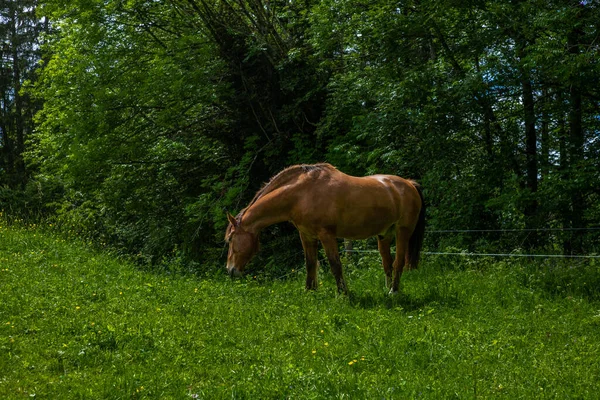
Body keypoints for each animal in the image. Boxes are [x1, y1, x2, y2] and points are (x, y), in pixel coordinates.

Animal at [225, 162, 426, 294]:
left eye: (230, 239)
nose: (230, 270)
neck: (301, 194)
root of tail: (409, 184)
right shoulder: (306, 236)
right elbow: (310, 263)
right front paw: (310, 291)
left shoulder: (326, 235)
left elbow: (335, 264)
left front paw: (343, 293)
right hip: (384, 235)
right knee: (387, 263)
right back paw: (387, 289)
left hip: (402, 233)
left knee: (398, 262)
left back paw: (393, 291)